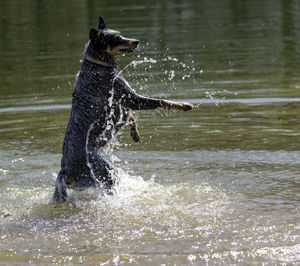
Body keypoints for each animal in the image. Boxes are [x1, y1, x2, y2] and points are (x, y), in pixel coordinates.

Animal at [51, 16, 192, 203]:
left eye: (121, 33)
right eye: (117, 38)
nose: (136, 41)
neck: (97, 65)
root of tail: (64, 170)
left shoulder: (123, 104)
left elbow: (131, 117)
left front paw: (135, 133)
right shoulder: (131, 98)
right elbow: (160, 101)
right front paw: (183, 105)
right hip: (106, 173)